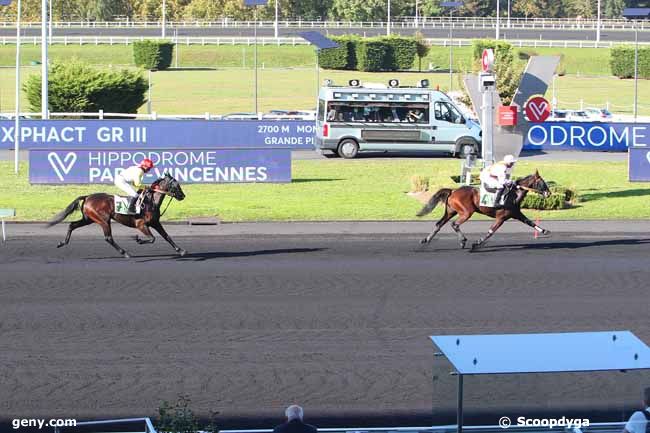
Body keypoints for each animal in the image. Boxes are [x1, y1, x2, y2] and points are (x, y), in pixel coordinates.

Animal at [47, 172, 185, 258]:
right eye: (175, 185)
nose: (183, 196)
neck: (150, 201)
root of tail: (87, 197)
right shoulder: (141, 224)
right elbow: (152, 238)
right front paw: (138, 239)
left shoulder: (155, 223)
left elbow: (167, 236)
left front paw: (181, 250)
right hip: (103, 220)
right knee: (108, 238)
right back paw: (125, 253)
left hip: (88, 218)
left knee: (72, 225)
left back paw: (62, 242)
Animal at [418, 170, 548, 250]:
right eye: (542, 182)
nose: (549, 193)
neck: (514, 194)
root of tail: (453, 191)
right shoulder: (501, 217)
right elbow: (491, 231)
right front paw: (477, 243)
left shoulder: (516, 213)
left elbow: (530, 222)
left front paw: (544, 231)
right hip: (466, 212)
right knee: (454, 224)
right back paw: (463, 240)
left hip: (451, 211)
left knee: (439, 224)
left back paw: (426, 239)